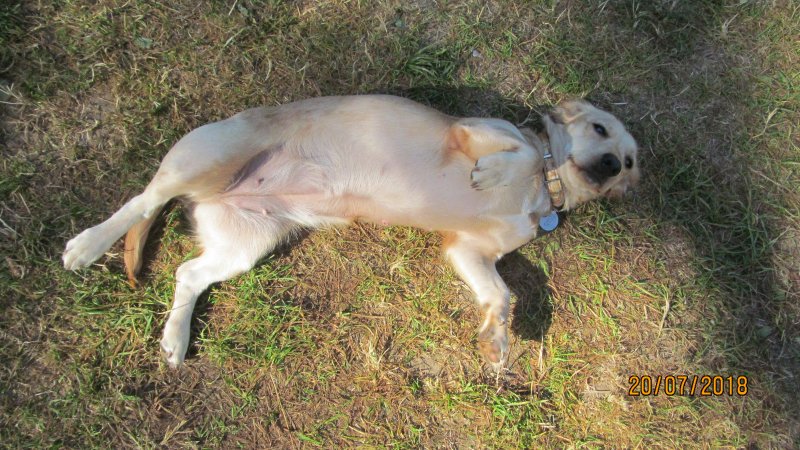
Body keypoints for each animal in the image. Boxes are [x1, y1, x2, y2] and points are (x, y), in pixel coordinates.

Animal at [62, 95, 639, 368]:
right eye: (599, 129)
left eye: (631, 160)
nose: (614, 165)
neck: (543, 186)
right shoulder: (473, 131)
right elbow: (519, 150)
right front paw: (493, 171)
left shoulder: (469, 252)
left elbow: (501, 296)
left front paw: (496, 340)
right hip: (204, 162)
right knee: (141, 201)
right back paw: (86, 247)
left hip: (246, 245)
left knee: (186, 272)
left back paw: (174, 339)